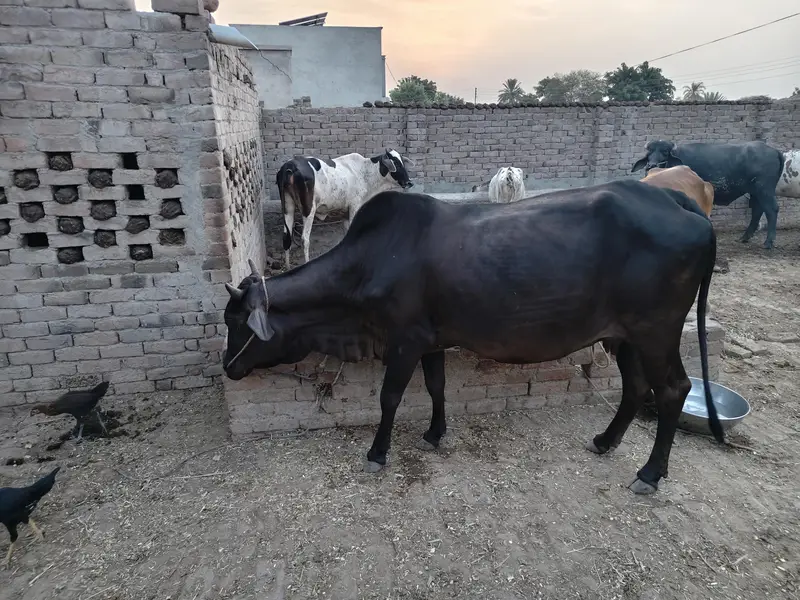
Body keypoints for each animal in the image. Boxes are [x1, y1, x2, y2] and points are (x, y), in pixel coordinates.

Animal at [222, 180, 724, 495]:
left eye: (237, 324)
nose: (228, 367)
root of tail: (675, 199)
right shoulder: (431, 340)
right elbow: (436, 387)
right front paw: (435, 432)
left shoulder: (403, 340)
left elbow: (390, 398)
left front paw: (378, 453)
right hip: (624, 336)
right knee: (636, 386)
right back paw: (604, 441)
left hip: (657, 331)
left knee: (673, 389)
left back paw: (650, 473)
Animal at [276, 149, 413, 270]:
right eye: (395, 163)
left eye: (402, 162)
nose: (409, 182)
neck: (366, 172)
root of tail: (289, 165)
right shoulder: (355, 206)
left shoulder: (345, 213)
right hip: (309, 210)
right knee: (305, 239)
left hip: (288, 207)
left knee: (286, 237)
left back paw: (287, 268)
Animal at [631, 140, 785, 249]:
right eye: (649, 153)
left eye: (664, 152)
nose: (651, 165)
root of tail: (774, 151)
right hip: (755, 191)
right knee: (757, 210)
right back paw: (744, 238)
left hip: (764, 189)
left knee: (771, 209)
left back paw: (769, 242)